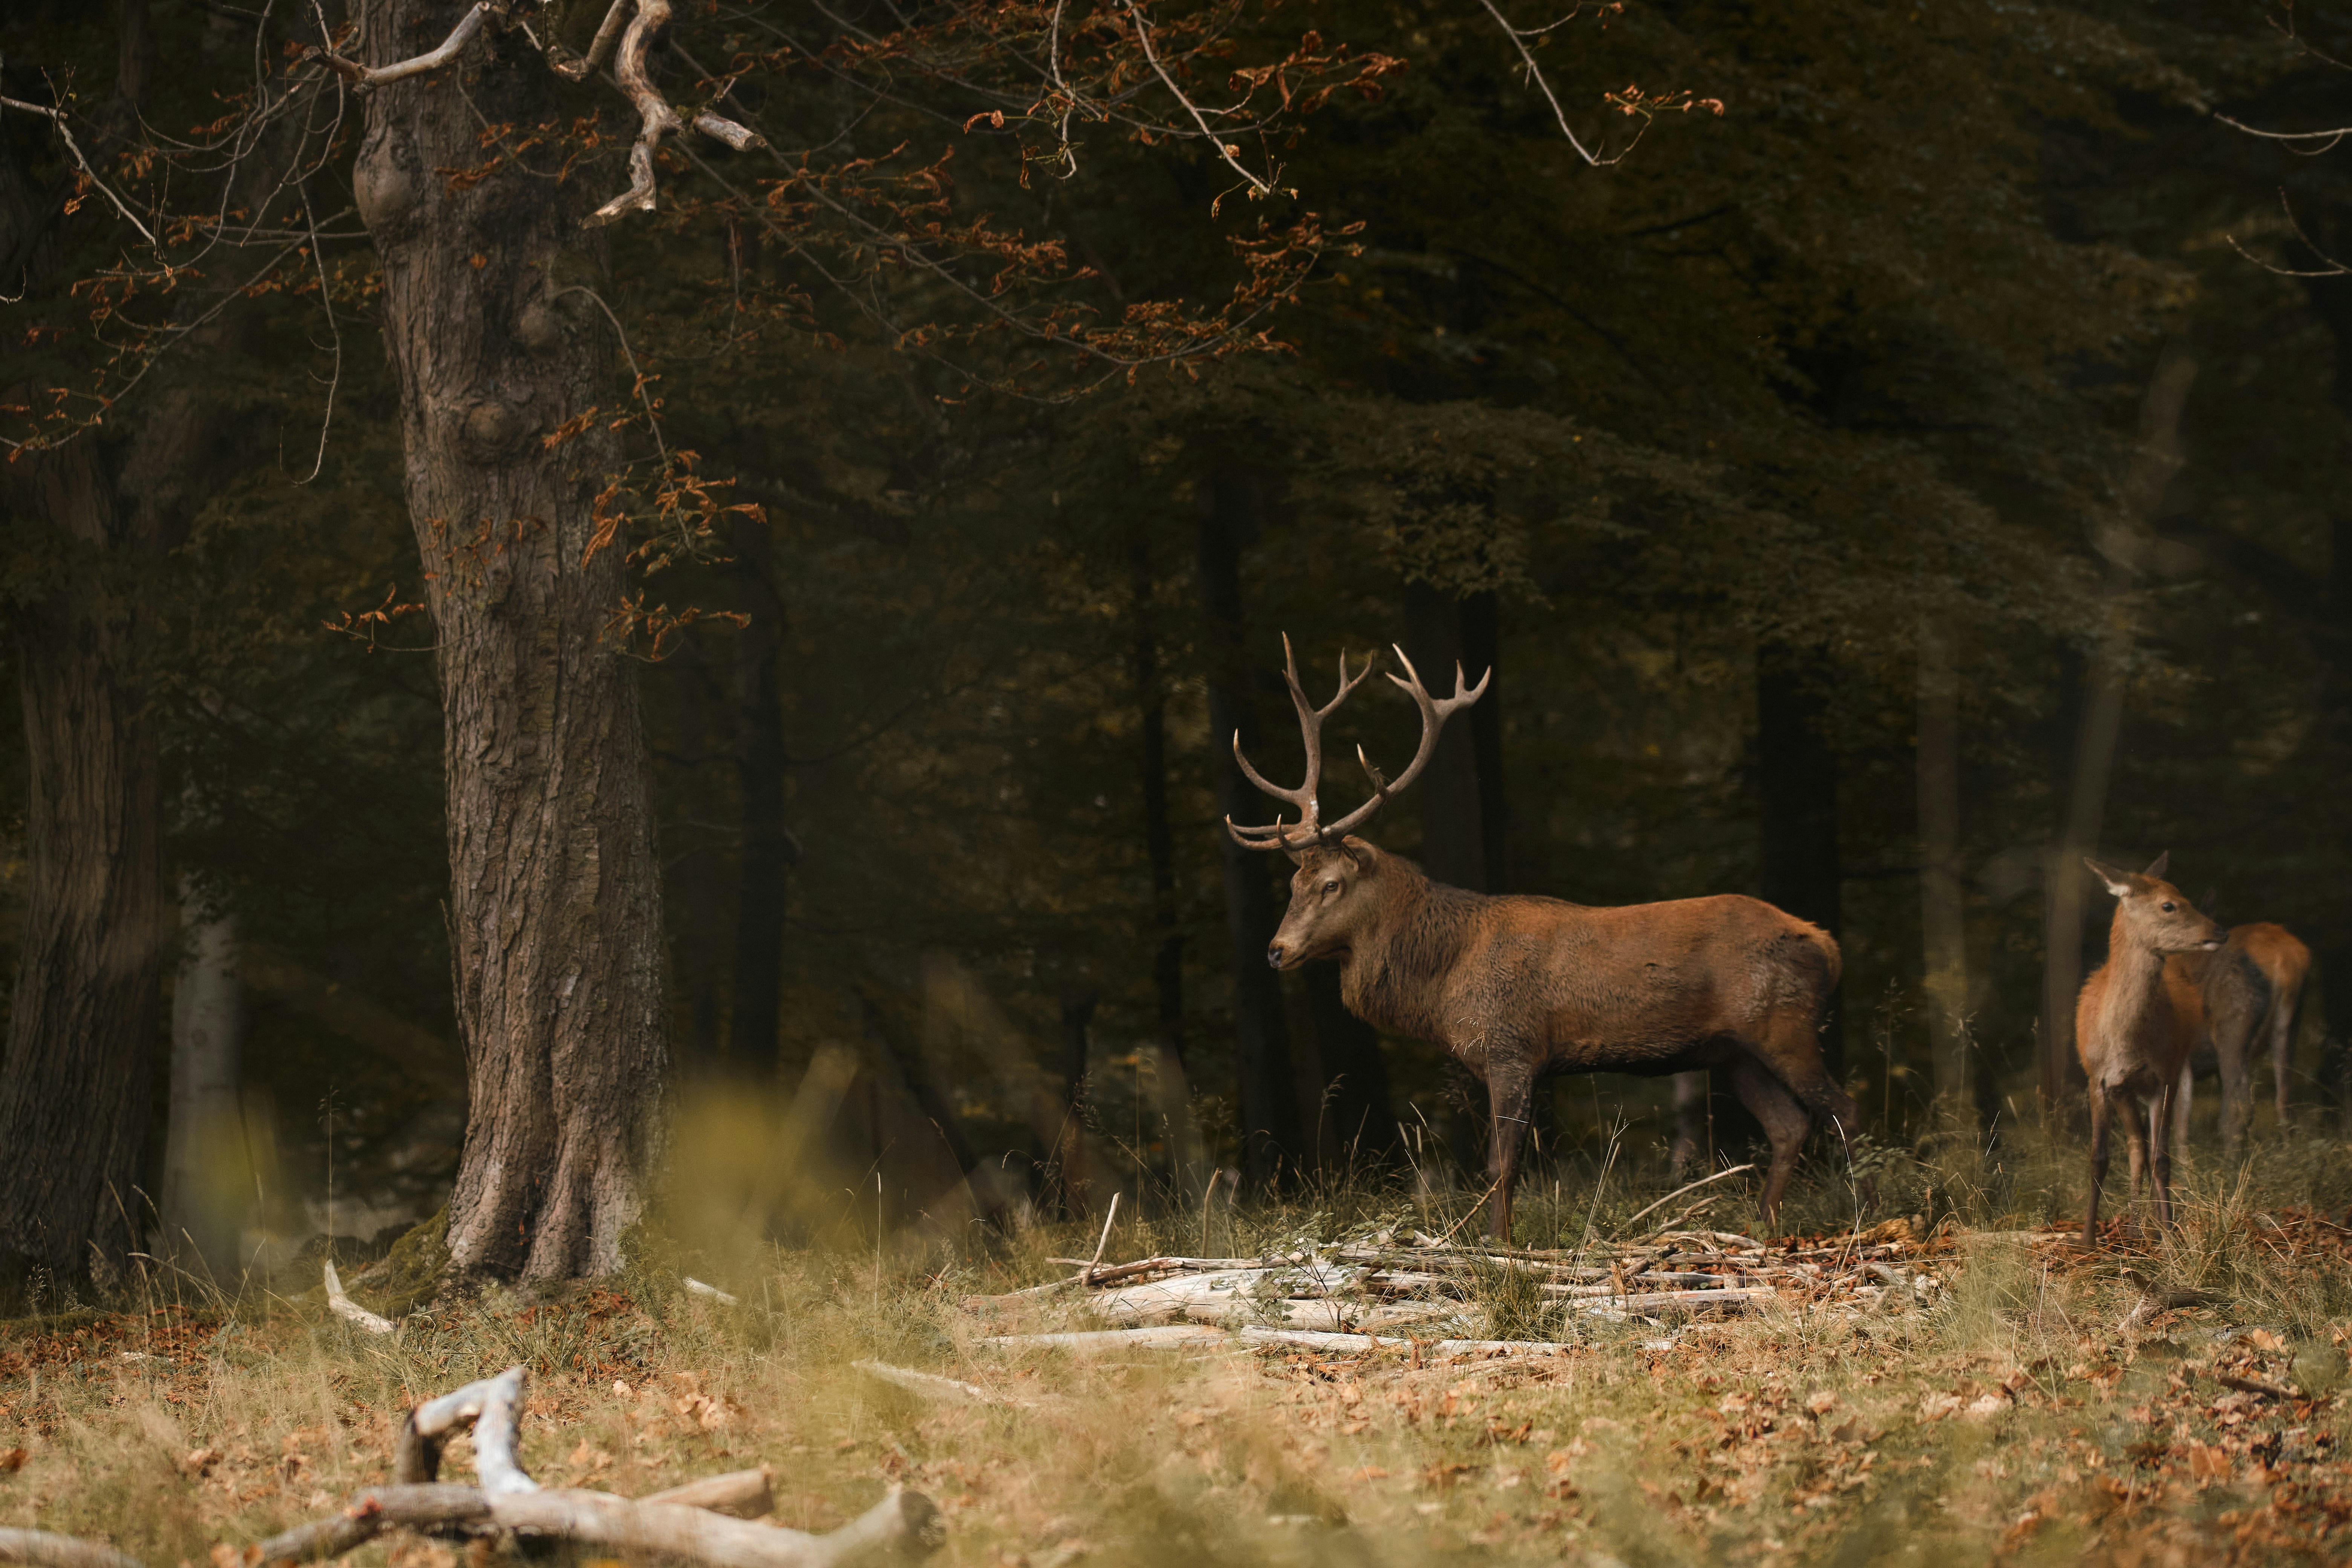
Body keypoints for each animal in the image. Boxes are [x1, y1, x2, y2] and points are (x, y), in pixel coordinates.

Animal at [1226, 636, 1862, 1242]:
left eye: (1331, 884)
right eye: (1293, 882)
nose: (1276, 950)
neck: (1444, 980)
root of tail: (1827, 945)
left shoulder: (1512, 1046)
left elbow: (1501, 1165)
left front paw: (1496, 1244)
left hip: (1784, 1025)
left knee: (1843, 1114)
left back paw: (1865, 1216)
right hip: (1734, 1052)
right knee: (1789, 1125)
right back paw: (1765, 1224)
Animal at [2075, 853, 2226, 1245]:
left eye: (2184, 895)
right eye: (2168, 905)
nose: (2220, 931)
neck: (2126, 1043)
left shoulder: (2165, 1076)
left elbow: (2163, 1158)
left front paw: (2171, 1238)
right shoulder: (2098, 1079)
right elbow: (2098, 1157)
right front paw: (2087, 1240)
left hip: (2174, 1072)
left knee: (2150, 1148)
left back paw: (2151, 1228)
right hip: (2124, 1091)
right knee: (2135, 1147)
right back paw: (2134, 1227)